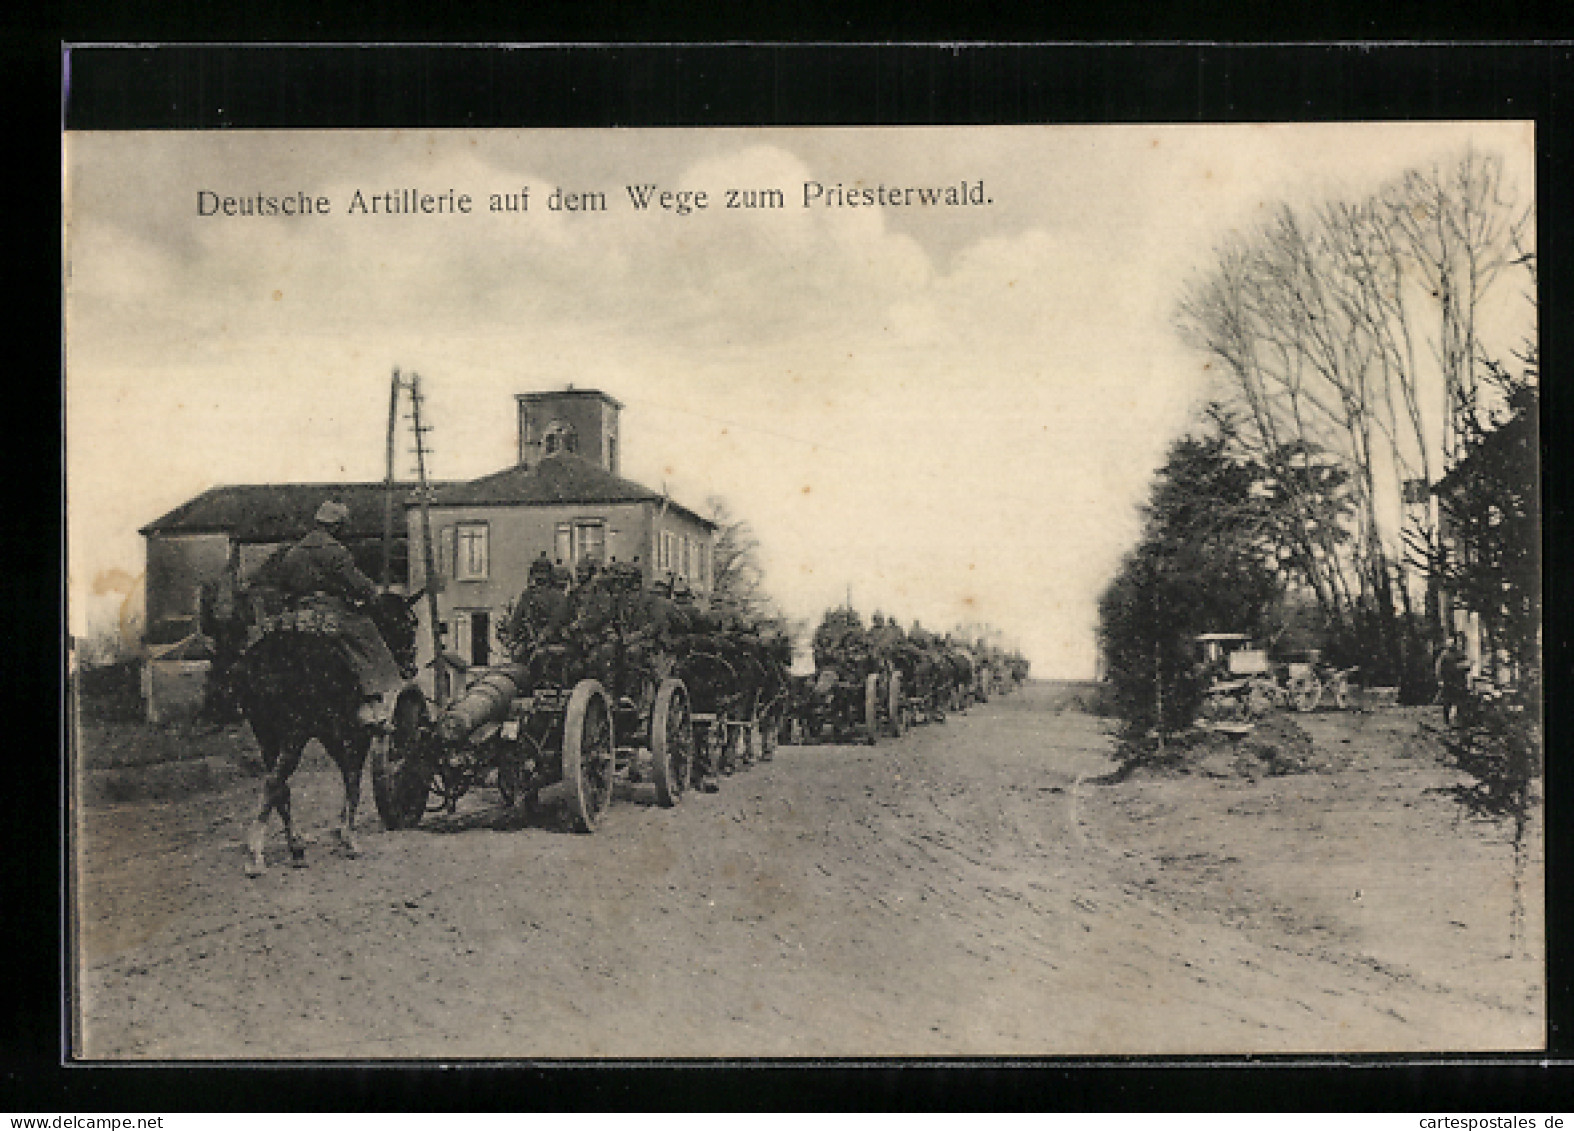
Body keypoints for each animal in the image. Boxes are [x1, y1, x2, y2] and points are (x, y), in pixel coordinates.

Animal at [229, 591, 418, 874]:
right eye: (407, 626)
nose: (411, 667)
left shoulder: (333, 738)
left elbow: (349, 780)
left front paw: (342, 832)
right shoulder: (355, 738)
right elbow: (354, 782)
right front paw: (349, 839)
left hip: (267, 737)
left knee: (280, 788)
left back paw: (295, 848)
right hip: (293, 737)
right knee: (274, 783)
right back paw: (256, 854)